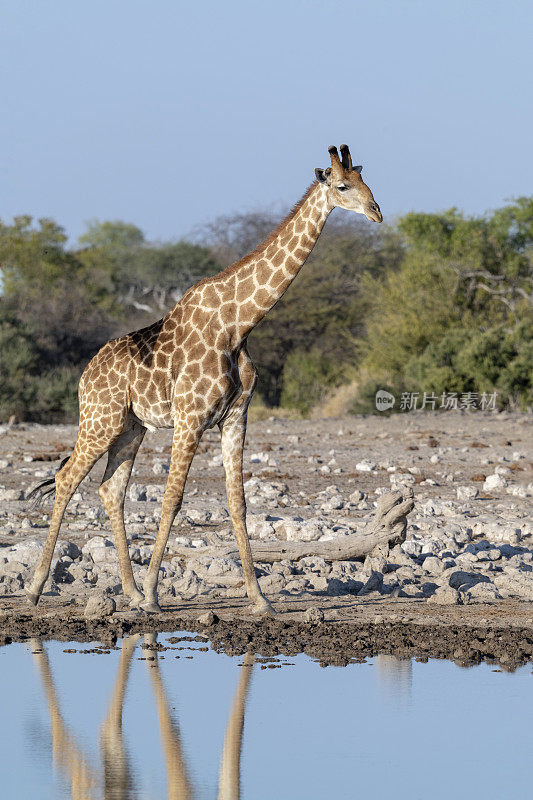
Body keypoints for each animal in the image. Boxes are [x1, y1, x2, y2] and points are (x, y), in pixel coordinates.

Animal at [26, 145, 382, 612]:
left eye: (367, 182)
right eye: (342, 186)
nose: (377, 212)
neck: (239, 323)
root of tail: (84, 377)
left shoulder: (235, 417)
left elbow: (238, 501)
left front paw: (259, 598)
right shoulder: (191, 417)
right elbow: (172, 499)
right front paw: (155, 596)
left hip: (131, 427)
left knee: (110, 489)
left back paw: (128, 590)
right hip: (100, 421)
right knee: (67, 480)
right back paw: (37, 588)